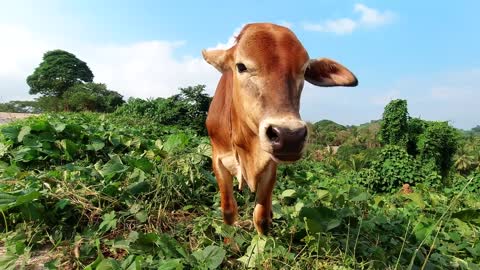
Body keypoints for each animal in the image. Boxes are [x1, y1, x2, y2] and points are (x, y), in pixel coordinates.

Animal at [202, 22, 356, 234]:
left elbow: (261, 217)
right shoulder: (218, 159)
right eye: (241, 66)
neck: (246, 144)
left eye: (304, 70)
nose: (290, 136)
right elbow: (228, 211)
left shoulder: (270, 165)